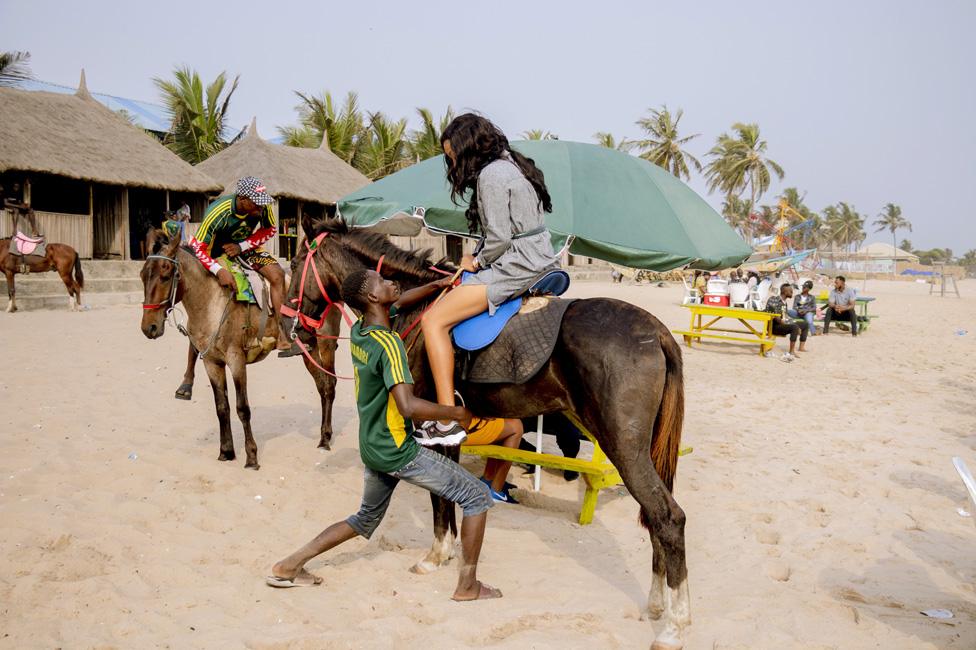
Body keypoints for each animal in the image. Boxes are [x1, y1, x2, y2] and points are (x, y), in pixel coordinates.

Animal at [139, 232, 342, 466]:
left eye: (165, 275)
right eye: (142, 276)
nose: (149, 327)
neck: (212, 301)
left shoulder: (236, 359)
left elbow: (242, 408)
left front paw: (251, 456)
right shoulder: (212, 363)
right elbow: (222, 408)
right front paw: (226, 451)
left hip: (326, 344)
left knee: (329, 386)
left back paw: (325, 438)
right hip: (309, 349)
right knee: (321, 385)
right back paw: (323, 434)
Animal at [282, 219, 692, 648]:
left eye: (294, 262)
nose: (289, 324)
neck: (414, 309)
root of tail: (655, 331)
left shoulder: (430, 429)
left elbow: (439, 499)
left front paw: (436, 555)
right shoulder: (447, 435)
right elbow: (445, 497)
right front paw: (447, 550)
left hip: (624, 447)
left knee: (668, 517)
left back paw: (675, 625)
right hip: (645, 450)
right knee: (653, 517)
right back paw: (657, 605)